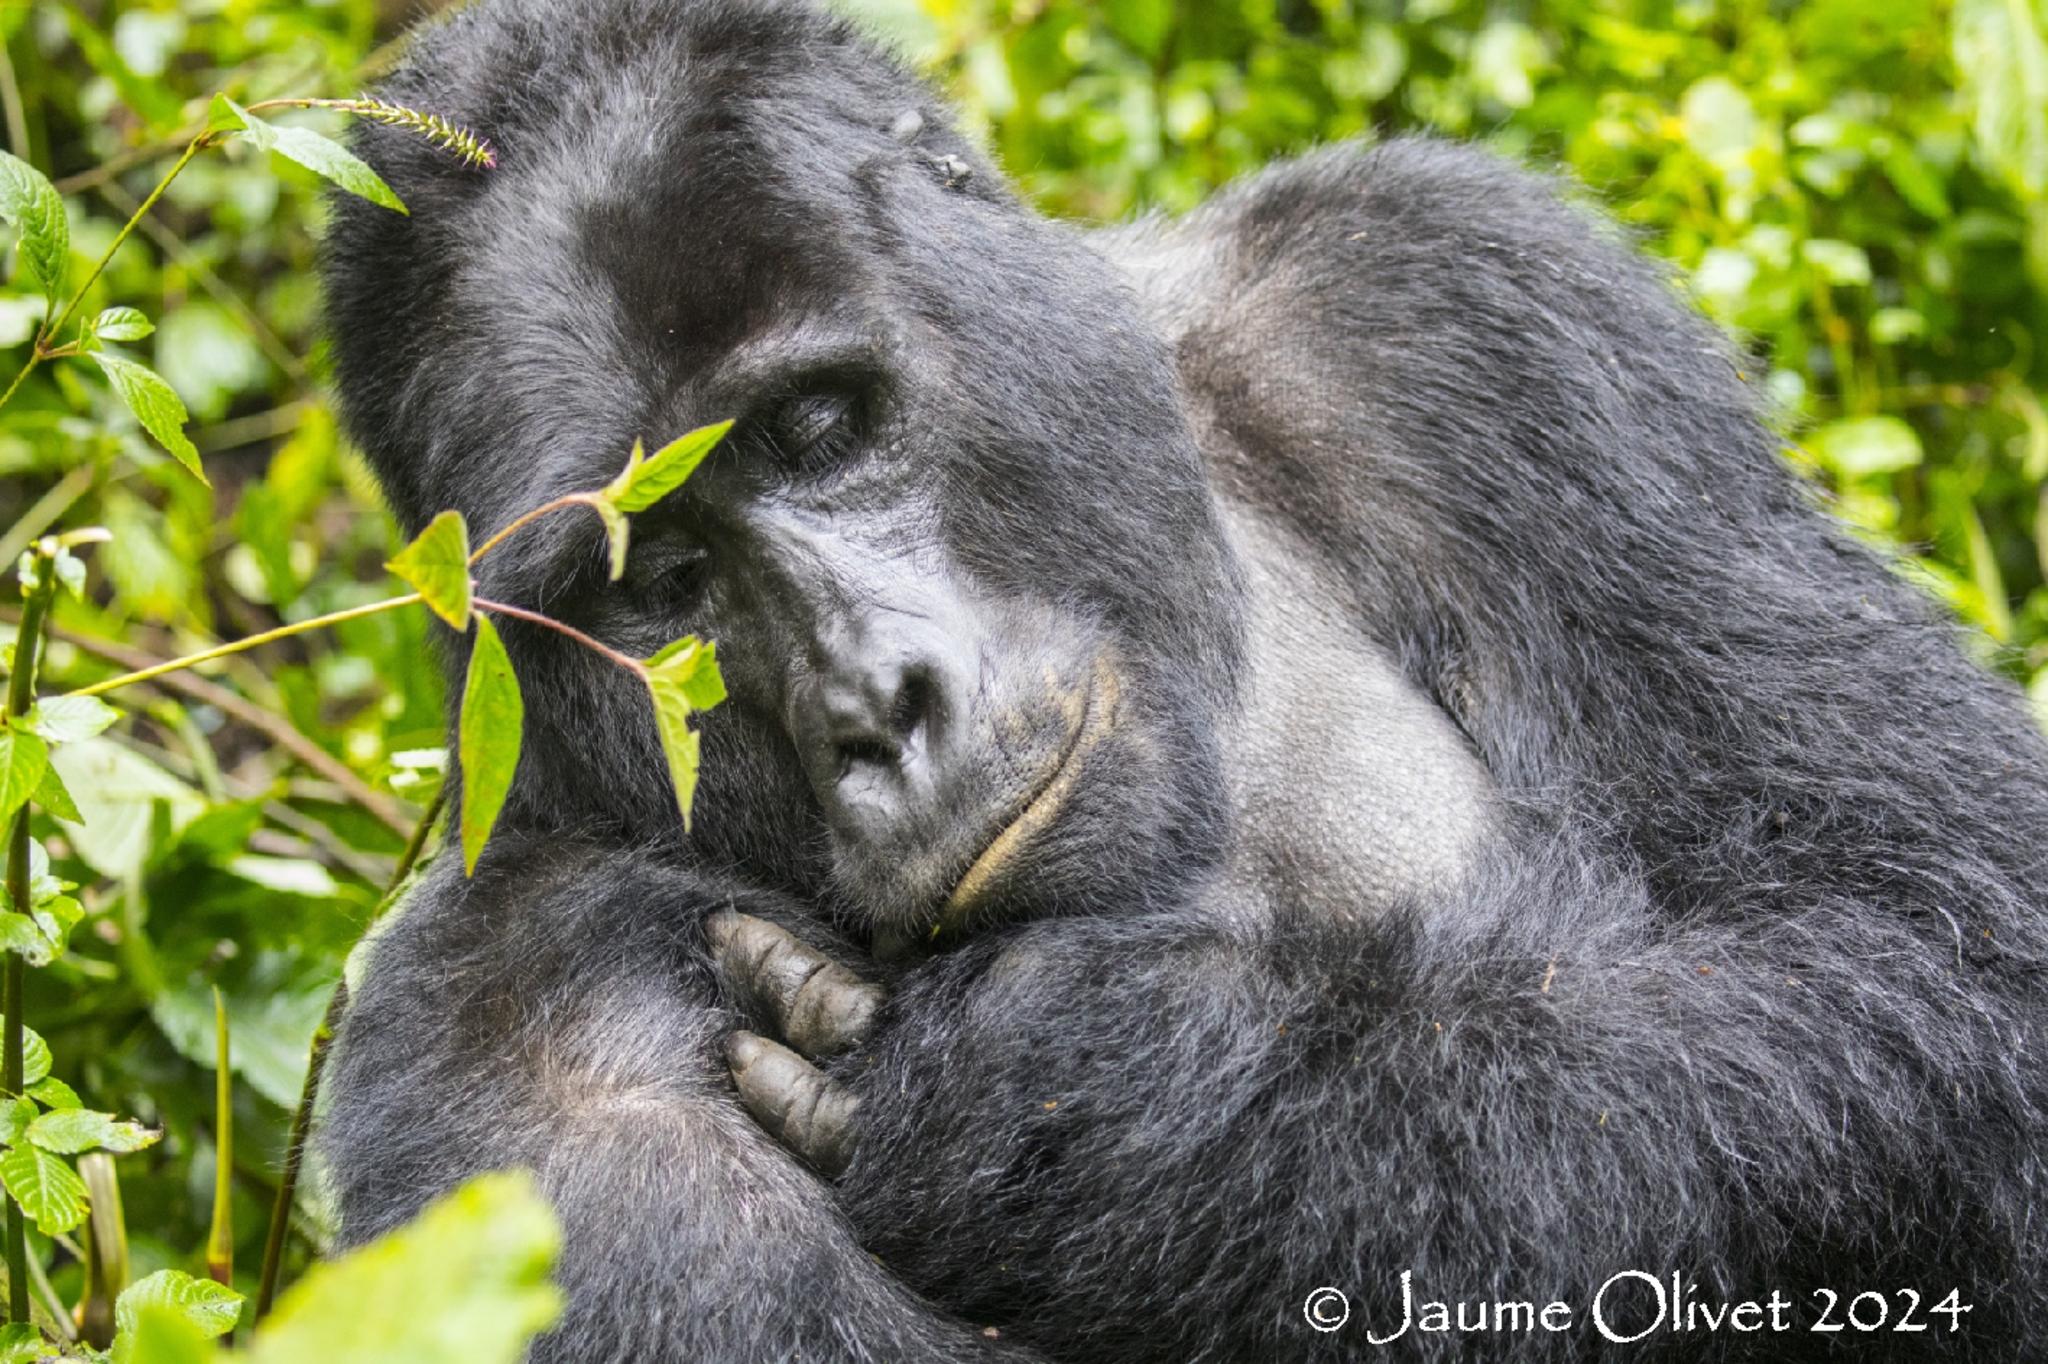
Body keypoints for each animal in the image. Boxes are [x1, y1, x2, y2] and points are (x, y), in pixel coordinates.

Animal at [311, 2, 2048, 1359]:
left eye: (812, 427)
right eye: (656, 588)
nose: (878, 707)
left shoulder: (1450, 299)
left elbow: (1943, 919)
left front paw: (1103, 1111)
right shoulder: (501, 1034)